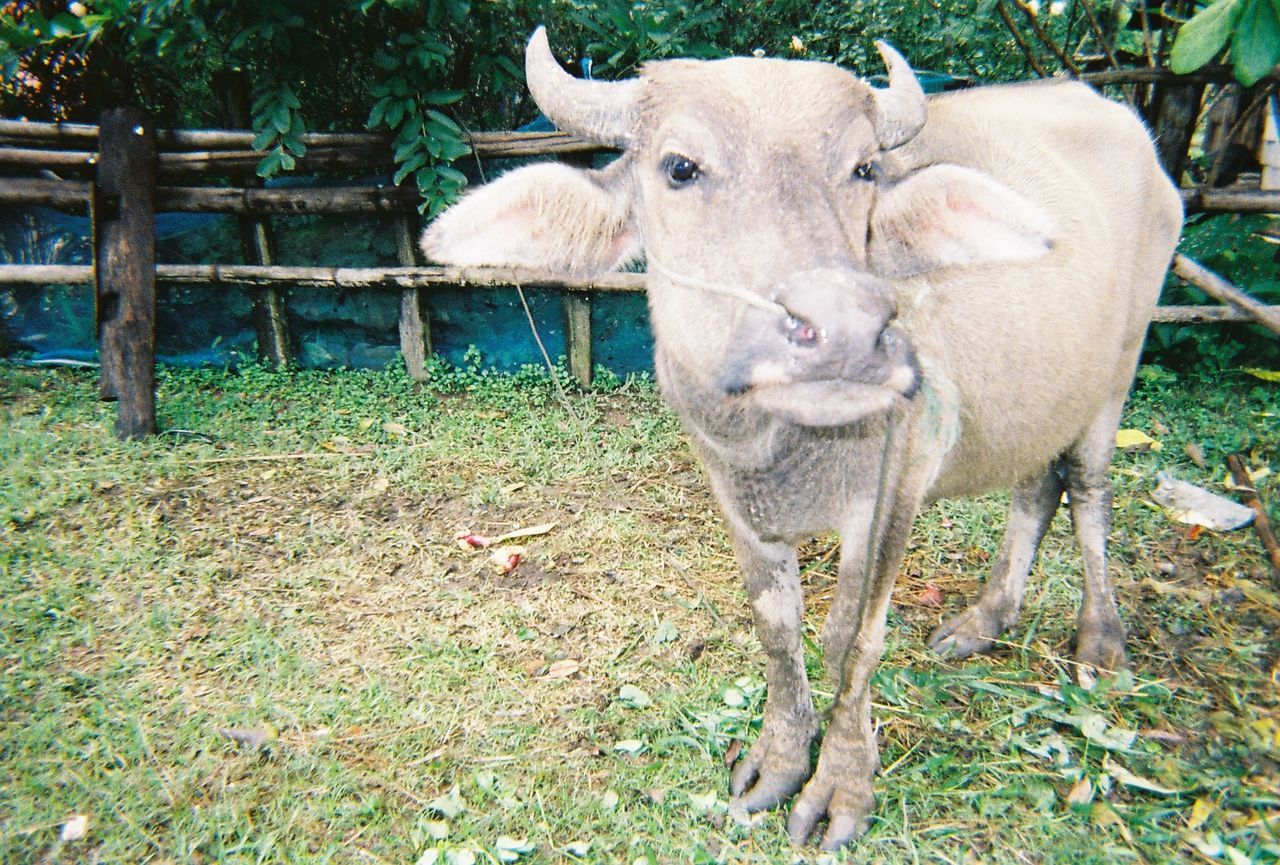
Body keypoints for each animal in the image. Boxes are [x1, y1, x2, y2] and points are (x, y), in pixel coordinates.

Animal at [419, 28, 1177, 849]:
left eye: (864, 168)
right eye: (679, 167)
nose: (846, 329)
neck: (781, 447)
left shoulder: (896, 487)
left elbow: (852, 638)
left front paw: (841, 782)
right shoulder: (731, 495)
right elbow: (776, 630)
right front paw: (779, 762)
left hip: (1119, 369)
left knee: (1088, 487)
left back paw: (1101, 642)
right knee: (1037, 483)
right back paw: (983, 620)